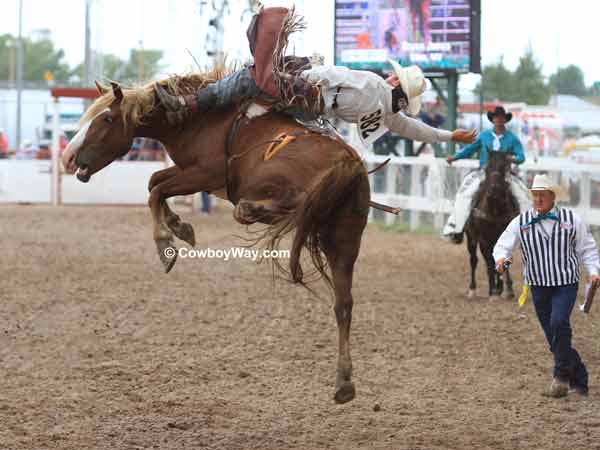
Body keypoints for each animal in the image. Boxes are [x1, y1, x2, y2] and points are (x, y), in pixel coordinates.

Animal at [61, 70, 370, 404]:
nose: (70, 158)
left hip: (284, 195)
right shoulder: (189, 172)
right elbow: (155, 181)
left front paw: (166, 243)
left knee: (282, 206)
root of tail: (348, 162)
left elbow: (156, 188)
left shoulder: (205, 175)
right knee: (343, 305)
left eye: (106, 119)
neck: (200, 117)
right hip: (343, 242)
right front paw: (179, 226)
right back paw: (343, 382)